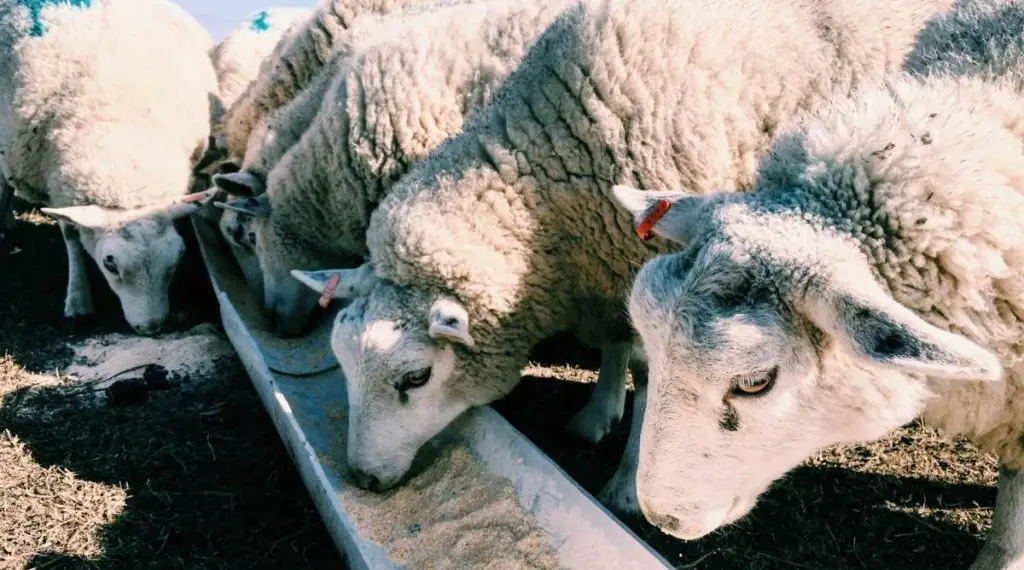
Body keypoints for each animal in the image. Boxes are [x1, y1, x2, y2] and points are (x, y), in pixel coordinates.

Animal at [284, 0, 954, 513]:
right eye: (341, 365)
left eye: (415, 377)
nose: (363, 480)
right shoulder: (603, 270)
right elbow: (616, 345)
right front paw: (598, 410)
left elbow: (655, 375)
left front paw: (627, 486)